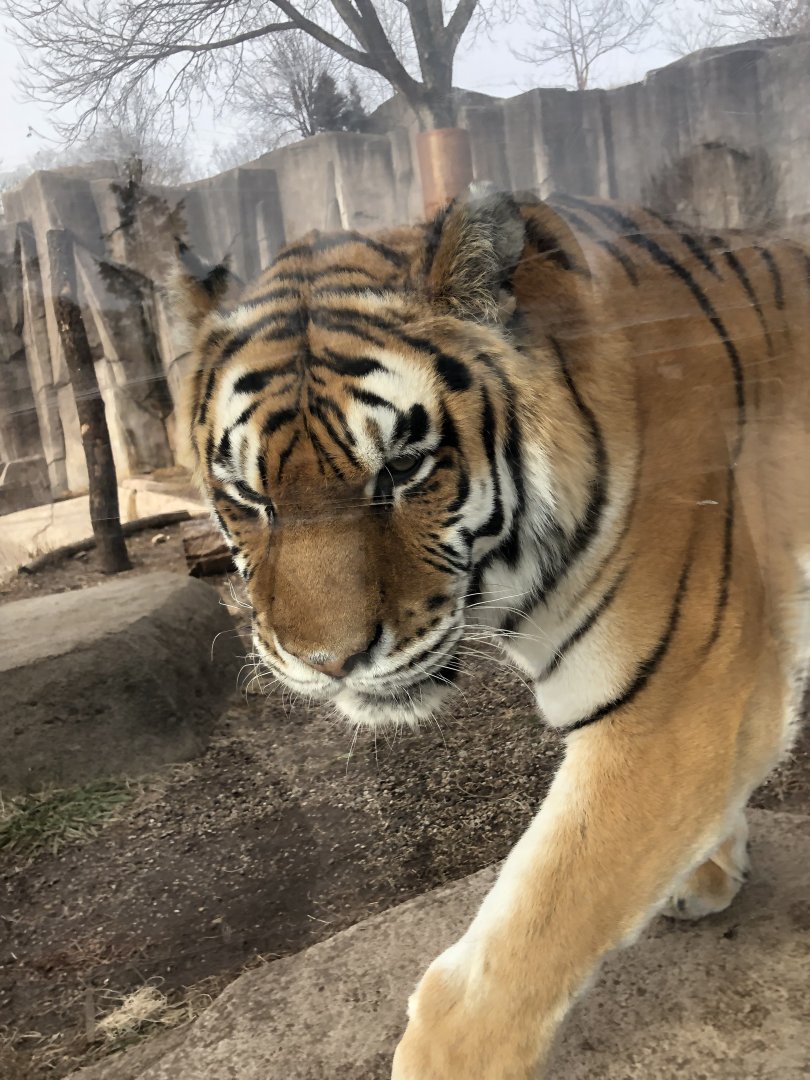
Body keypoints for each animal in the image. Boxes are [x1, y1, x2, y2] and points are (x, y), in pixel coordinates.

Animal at [174, 184, 810, 1079]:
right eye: (247, 494)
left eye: (404, 469)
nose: (328, 662)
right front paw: (711, 865)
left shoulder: (682, 696)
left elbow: (536, 919)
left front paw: (442, 1059)